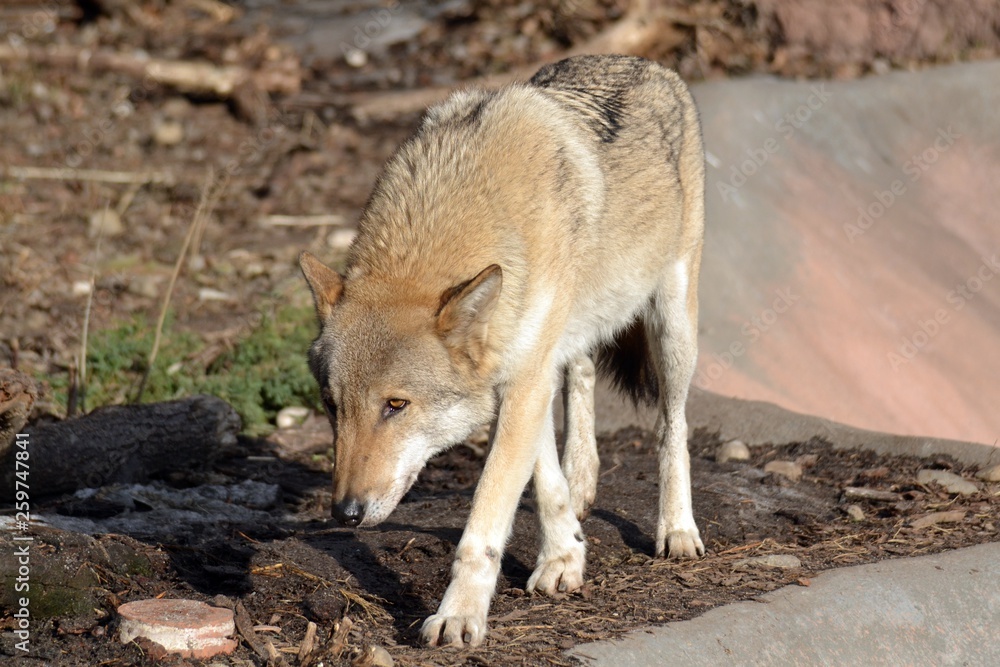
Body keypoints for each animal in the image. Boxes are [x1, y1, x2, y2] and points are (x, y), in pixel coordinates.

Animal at [300, 54, 705, 648]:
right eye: (333, 407)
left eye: (396, 406)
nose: (345, 513)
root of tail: (641, 62)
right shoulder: (522, 375)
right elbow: (544, 480)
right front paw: (564, 555)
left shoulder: (524, 380)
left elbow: (486, 516)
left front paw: (459, 615)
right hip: (575, 336)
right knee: (582, 374)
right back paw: (584, 480)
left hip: (673, 326)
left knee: (672, 426)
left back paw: (677, 529)